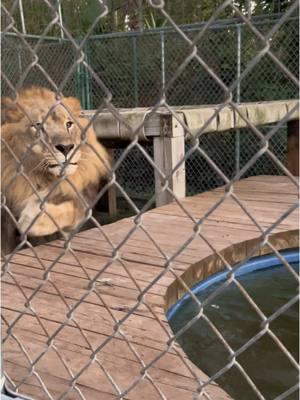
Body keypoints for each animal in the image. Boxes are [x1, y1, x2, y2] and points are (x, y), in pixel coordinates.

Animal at [1, 86, 109, 255]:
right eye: (38, 126)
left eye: (69, 124)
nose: (66, 147)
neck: (42, 178)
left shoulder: (81, 202)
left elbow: (70, 210)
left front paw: (32, 217)